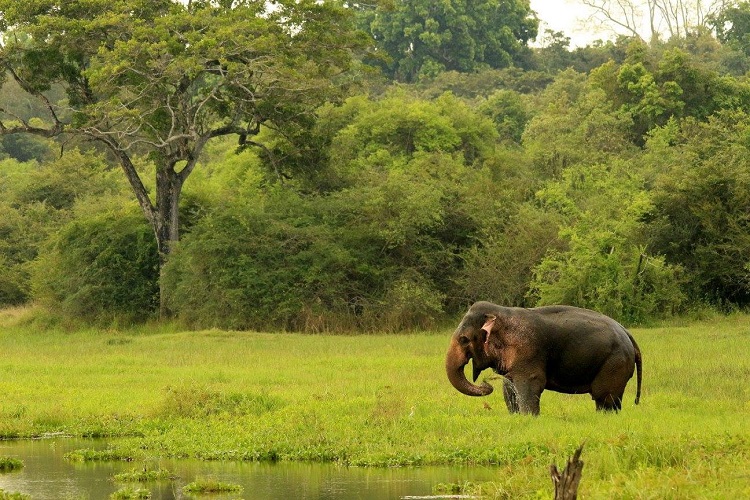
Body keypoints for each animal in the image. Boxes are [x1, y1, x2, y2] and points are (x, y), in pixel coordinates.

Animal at [450, 300, 644, 414]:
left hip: (614, 363)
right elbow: (509, 387)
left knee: (605, 399)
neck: (502, 313)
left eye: (464, 339)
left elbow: (530, 385)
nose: (486, 383)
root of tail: (627, 333)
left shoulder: (528, 352)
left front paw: (529, 417)